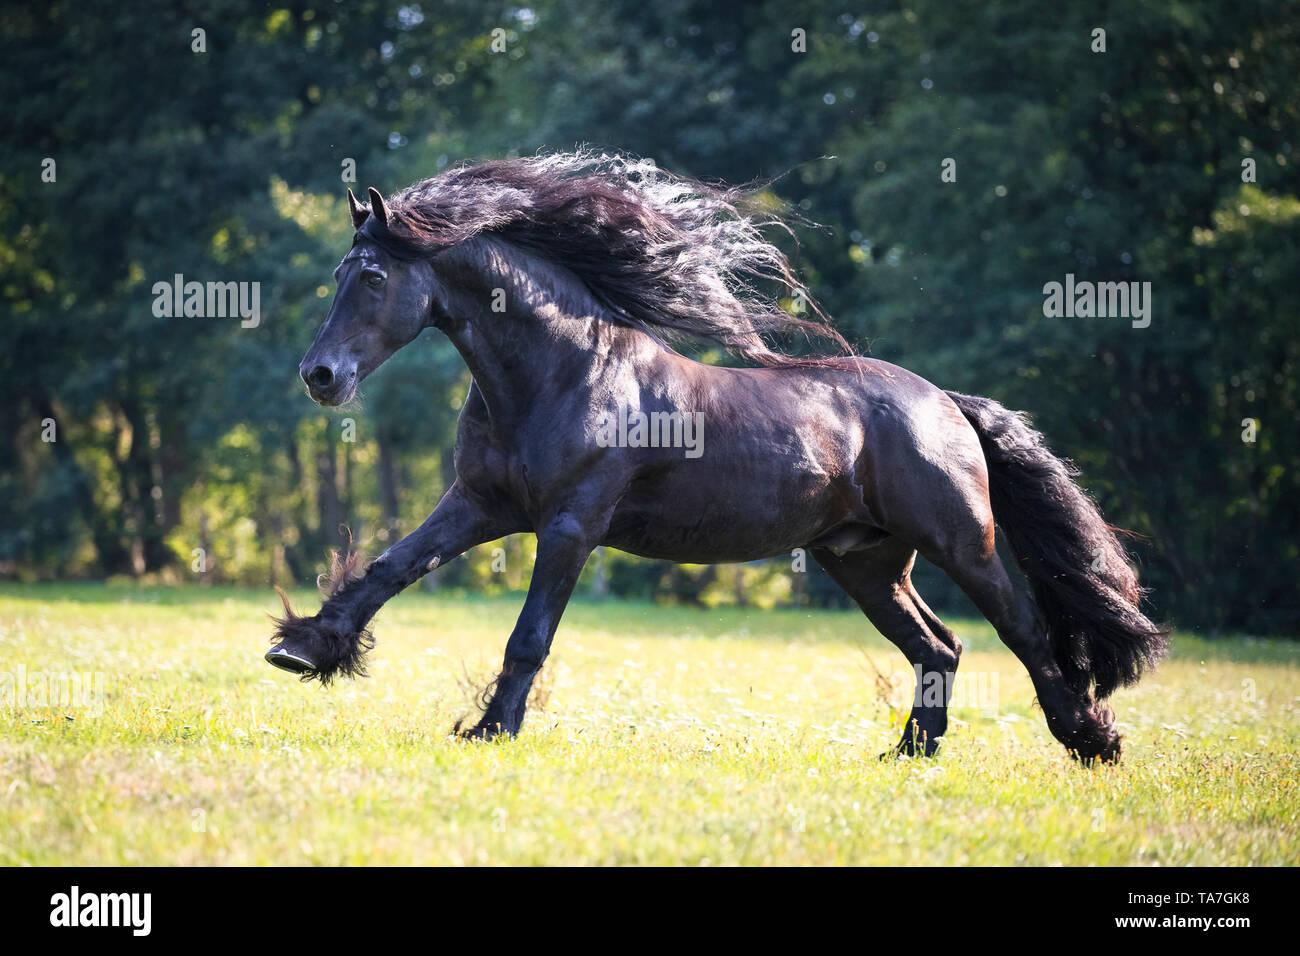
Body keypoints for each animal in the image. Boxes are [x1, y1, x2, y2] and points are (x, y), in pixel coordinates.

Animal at [266, 151, 1167, 762]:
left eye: (371, 277)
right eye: (340, 272)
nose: (319, 376)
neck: (561, 370)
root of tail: (946, 403)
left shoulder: (569, 526)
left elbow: (529, 636)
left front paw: (491, 730)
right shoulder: (479, 506)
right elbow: (386, 570)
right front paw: (304, 648)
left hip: (961, 544)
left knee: (1024, 632)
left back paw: (1091, 741)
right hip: (864, 561)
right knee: (938, 648)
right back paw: (908, 755)